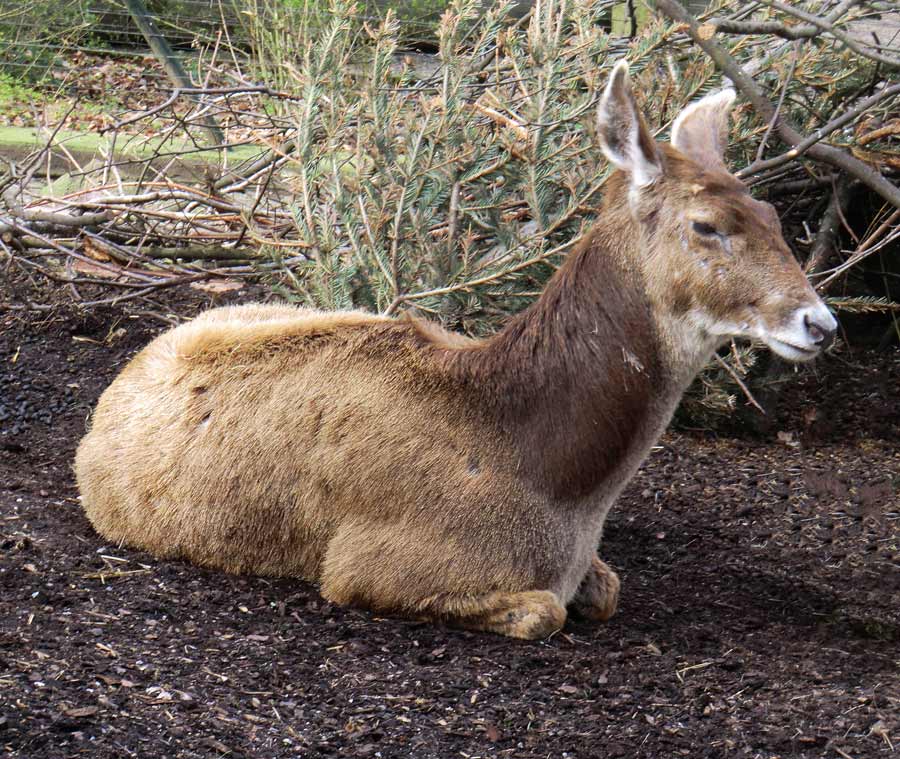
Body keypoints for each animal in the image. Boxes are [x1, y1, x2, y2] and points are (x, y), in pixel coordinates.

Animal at [75, 62, 836, 640]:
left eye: (771, 214)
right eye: (707, 225)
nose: (820, 322)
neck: (554, 484)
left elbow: (608, 588)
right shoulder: (365, 563)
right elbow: (543, 611)